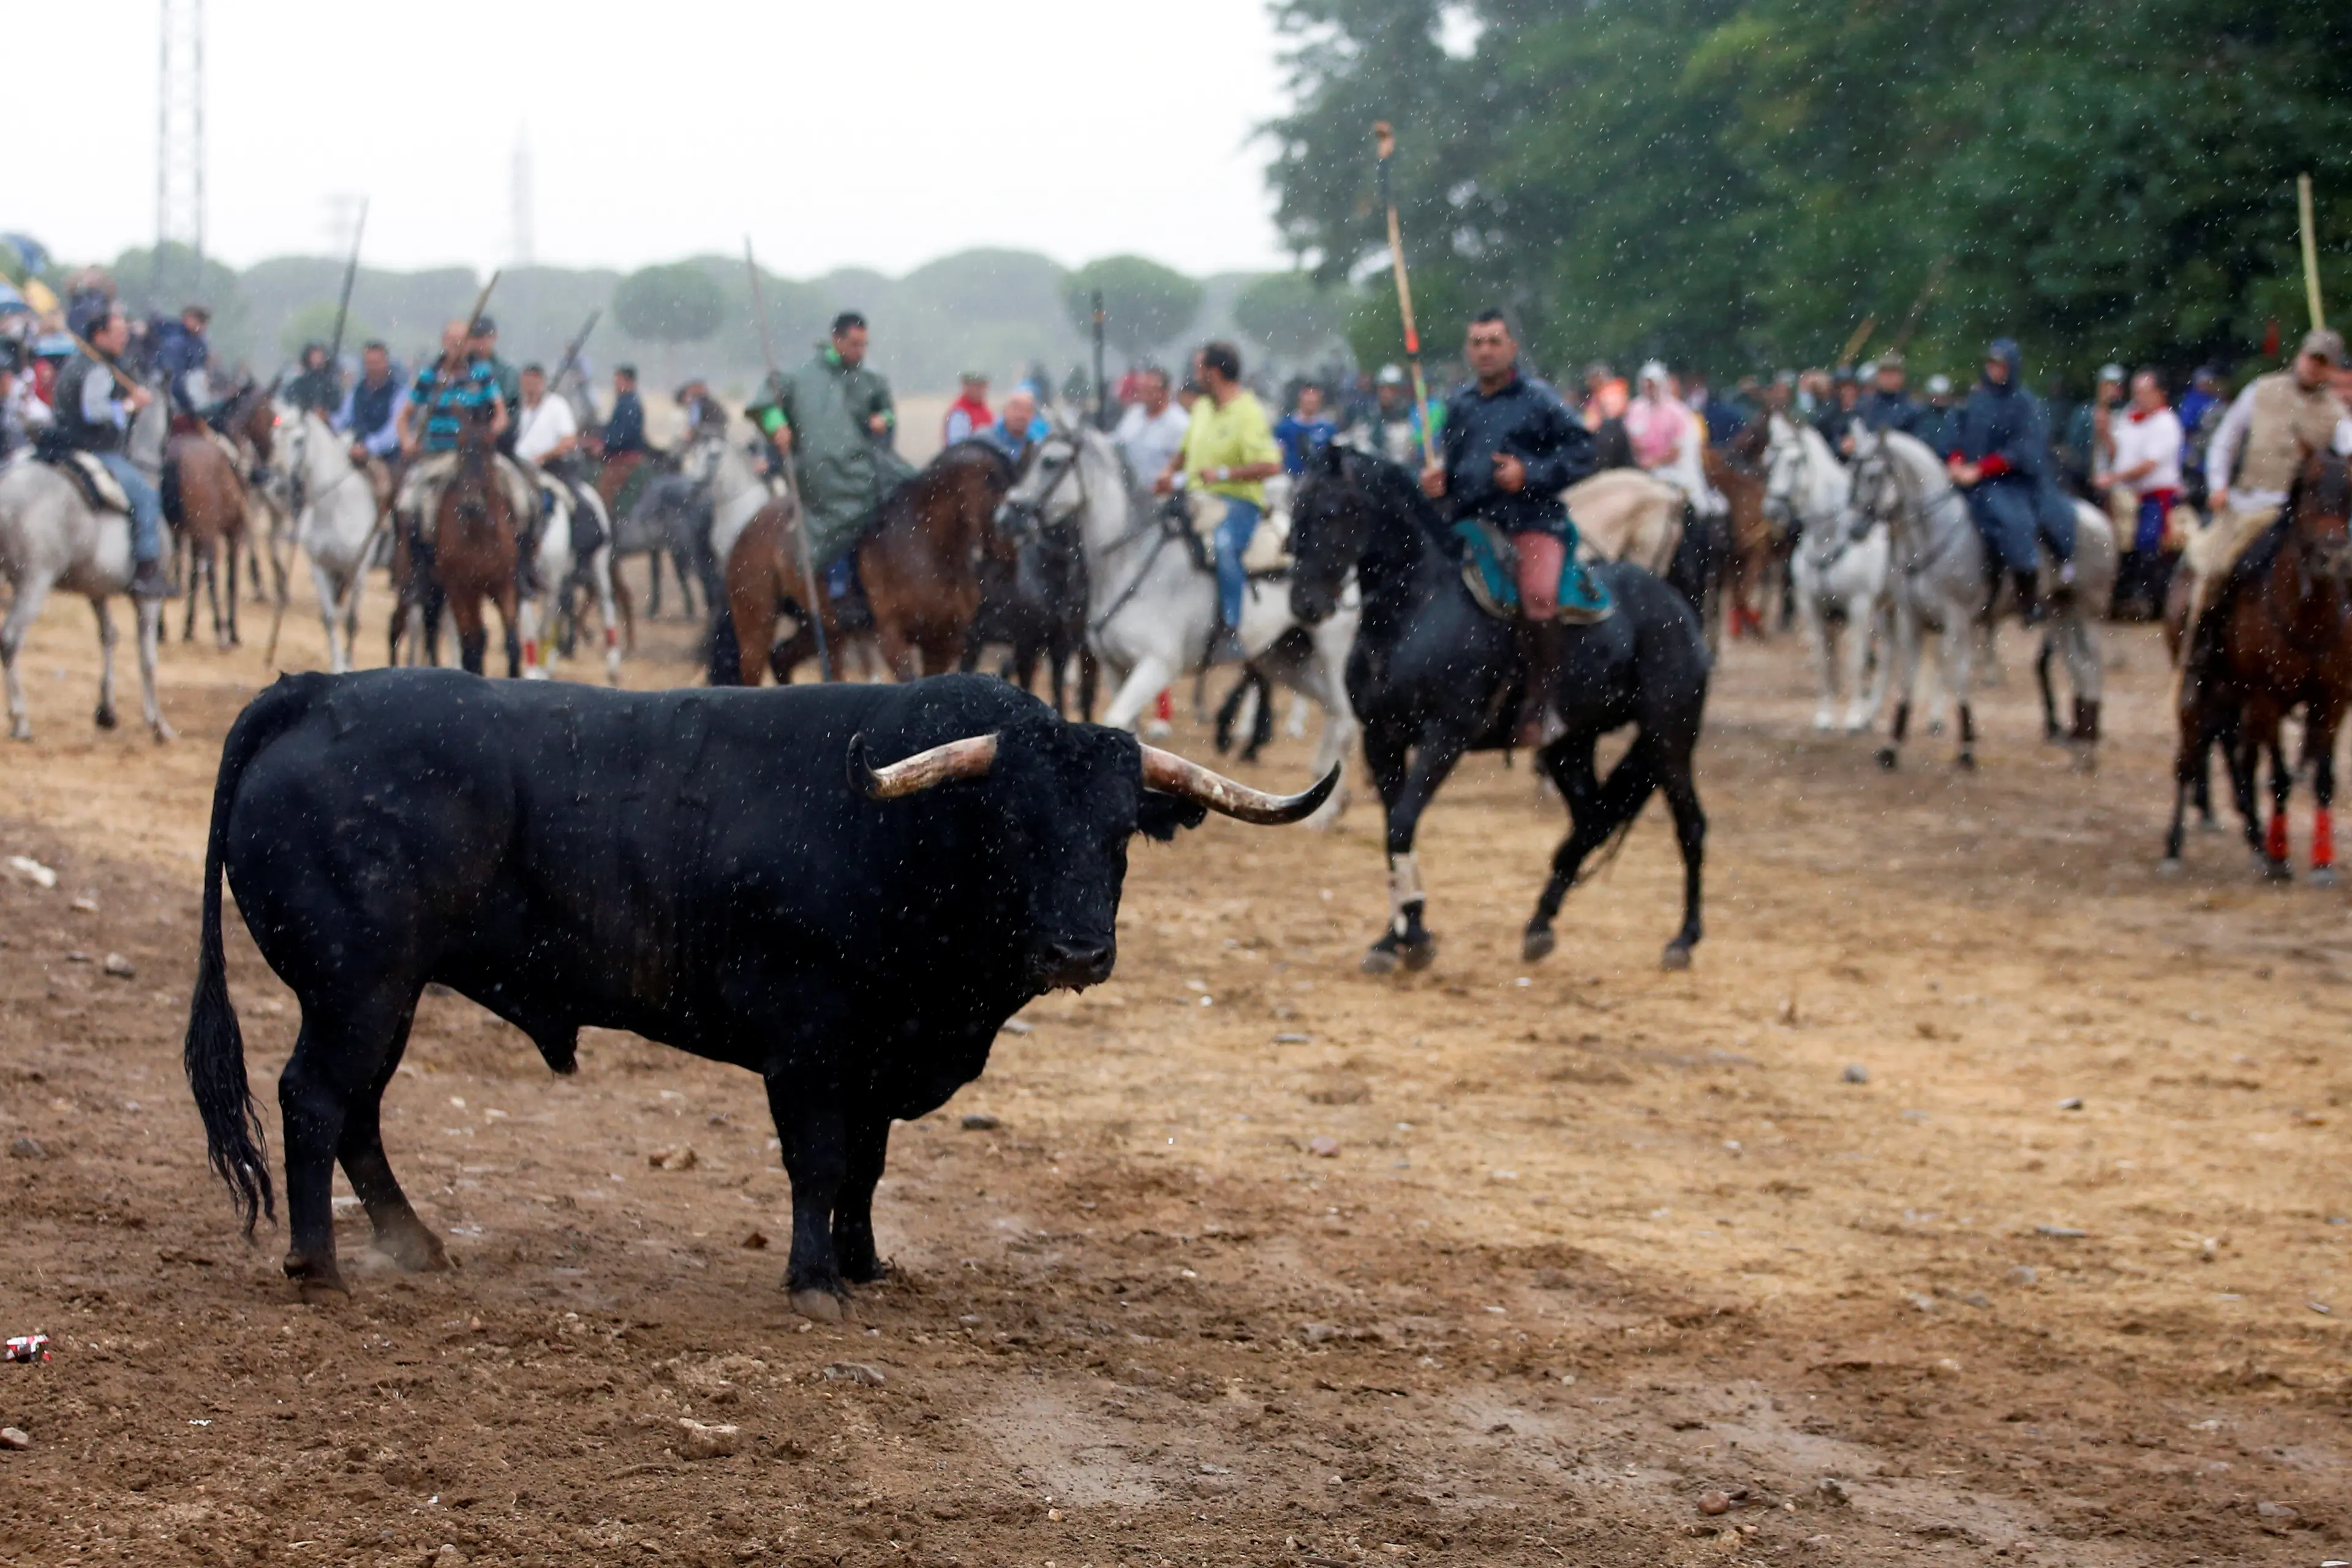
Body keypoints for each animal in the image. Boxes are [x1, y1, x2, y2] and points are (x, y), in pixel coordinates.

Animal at [184, 669, 1336, 1317]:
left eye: (1120, 833)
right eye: (1014, 823)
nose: (1079, 949)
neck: (901, 833)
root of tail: (315, 690)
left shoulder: (880, 1057)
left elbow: (867, 1168)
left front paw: (866, 1267)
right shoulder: (810, 1047)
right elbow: (819, 1163)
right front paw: (815, 1282)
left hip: (387, 992)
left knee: (359, 1111)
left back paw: (410, 1245)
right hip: (360, 985)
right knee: (315, 1100)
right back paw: (321, 1266)